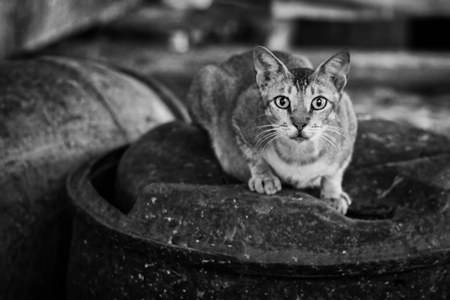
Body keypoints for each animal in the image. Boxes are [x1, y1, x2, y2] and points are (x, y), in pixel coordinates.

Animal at [186, 45, 356, 213]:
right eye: (282, 101)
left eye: (319, 102)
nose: (300, 124)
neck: (300, 157)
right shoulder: (241, 114)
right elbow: (253, 155)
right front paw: (264, 177)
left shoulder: (348, 126)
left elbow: (335, 171)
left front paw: (333, 194)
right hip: (207, 82)